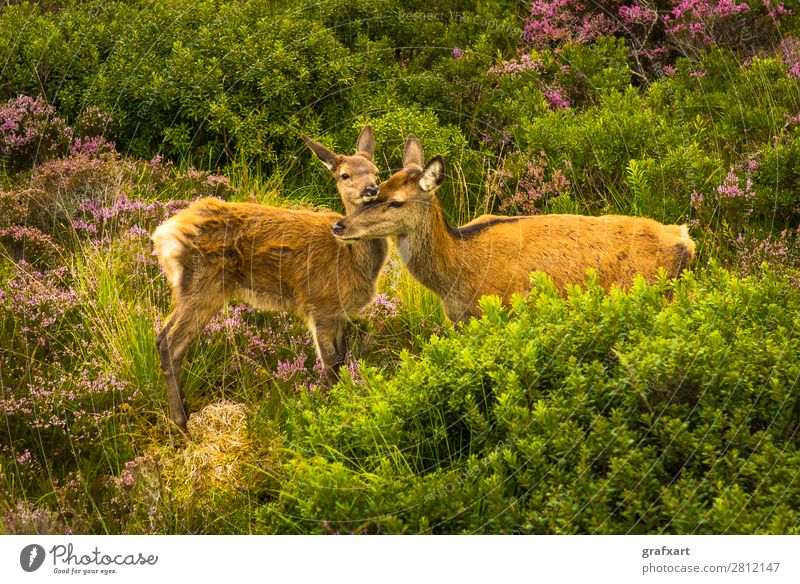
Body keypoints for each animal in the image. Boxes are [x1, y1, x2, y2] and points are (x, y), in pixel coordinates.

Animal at [152, 128, 390, 432]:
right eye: (345, 175)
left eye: (376, 172)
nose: (371, 189)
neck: (348, 258)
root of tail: (165, 233)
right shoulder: (319, 303)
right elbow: (330, 364)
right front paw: (334, 411)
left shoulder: (339, 312)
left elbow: (342, 359)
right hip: (204, 286)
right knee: (172, 343)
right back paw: (182, 423)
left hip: (186, 290)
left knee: (161, 337)